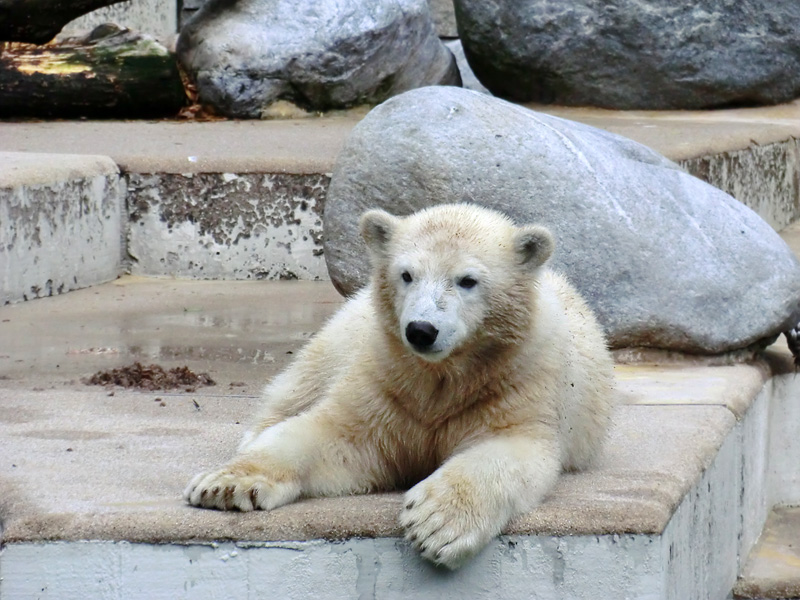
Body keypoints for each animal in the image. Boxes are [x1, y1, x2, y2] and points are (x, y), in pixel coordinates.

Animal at [184, 204, 616, 568]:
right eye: (406, 274)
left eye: (468, 280)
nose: (421, 330)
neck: (442, 376)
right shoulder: (387, 381)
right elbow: (333, 434)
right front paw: (225, 485)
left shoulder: (518, 384)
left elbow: (509, 450)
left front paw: (436, 524)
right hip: (349, 328)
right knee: (304, 378)